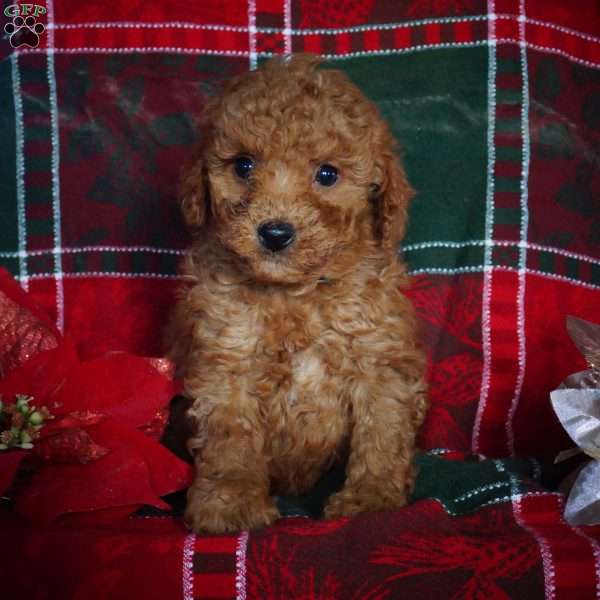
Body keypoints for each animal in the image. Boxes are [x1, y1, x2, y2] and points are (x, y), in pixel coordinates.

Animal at [166, 55, 428, 536]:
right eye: (243, 166)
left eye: (327, 174)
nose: (274, 233)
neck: (296, 295)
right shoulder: (227, 364)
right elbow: (229, 439)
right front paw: (230, 502)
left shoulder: (379, 362)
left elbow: (381, 433)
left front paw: (371, 498)